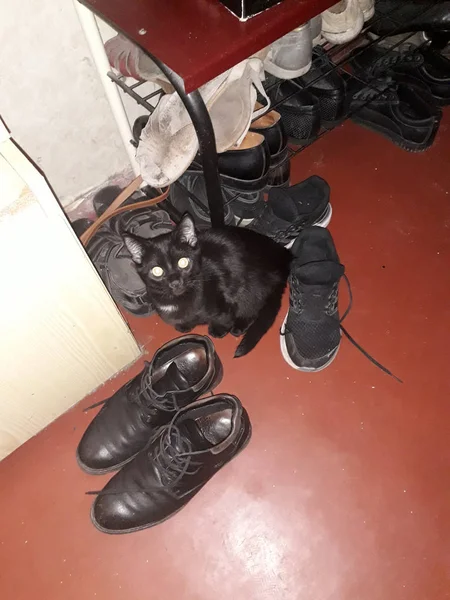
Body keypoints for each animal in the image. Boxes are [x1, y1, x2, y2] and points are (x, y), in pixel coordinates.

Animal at [124, 214, 292, 356]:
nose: (175, 282)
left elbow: (225, 316)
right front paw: (185, 325)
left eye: (183, 262)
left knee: (254, 306)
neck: (175, 301)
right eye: (157, 271)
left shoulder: (227, 295)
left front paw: (218, 330)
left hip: (252, 285)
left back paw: (239, 326)